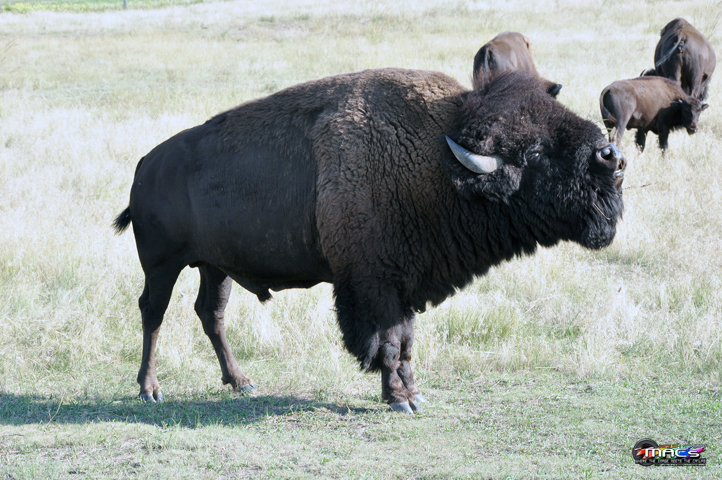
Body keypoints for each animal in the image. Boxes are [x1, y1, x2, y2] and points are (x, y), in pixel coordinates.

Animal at [114, 69, 625, 413]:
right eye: (534, 152)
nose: (612, 157)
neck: (438, 159)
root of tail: (145, 165)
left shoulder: (405, 284)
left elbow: (406, 340)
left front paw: (413, 394)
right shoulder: (373, 285)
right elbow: (389, 343)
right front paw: (400, 399)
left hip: (214, 266)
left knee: (211, 314)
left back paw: (241, 382)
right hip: (162, 265)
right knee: (153, 313)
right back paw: (150, 390)